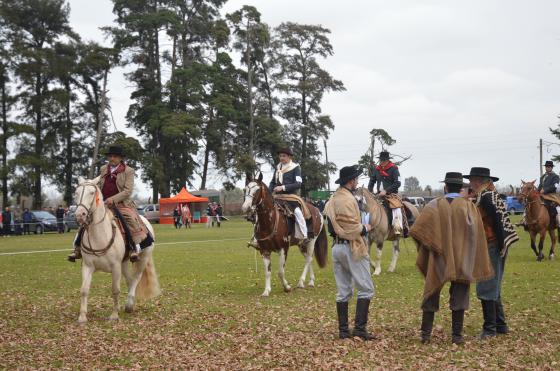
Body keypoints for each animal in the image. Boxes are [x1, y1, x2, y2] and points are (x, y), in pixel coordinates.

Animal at [72, 176, 160, 324]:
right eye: (76, 193)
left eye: (91, 192)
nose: (80, 215)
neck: (100, 235)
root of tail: (145, 221)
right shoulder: (87, 266)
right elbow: (84, 289)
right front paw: (82, 317)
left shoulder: (115, 267)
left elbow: (115, 290)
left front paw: (114, 315)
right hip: (124, 263)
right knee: (130, 280)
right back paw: (130, 304)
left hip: (143, 258)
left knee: (136, 278)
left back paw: (129, 305)